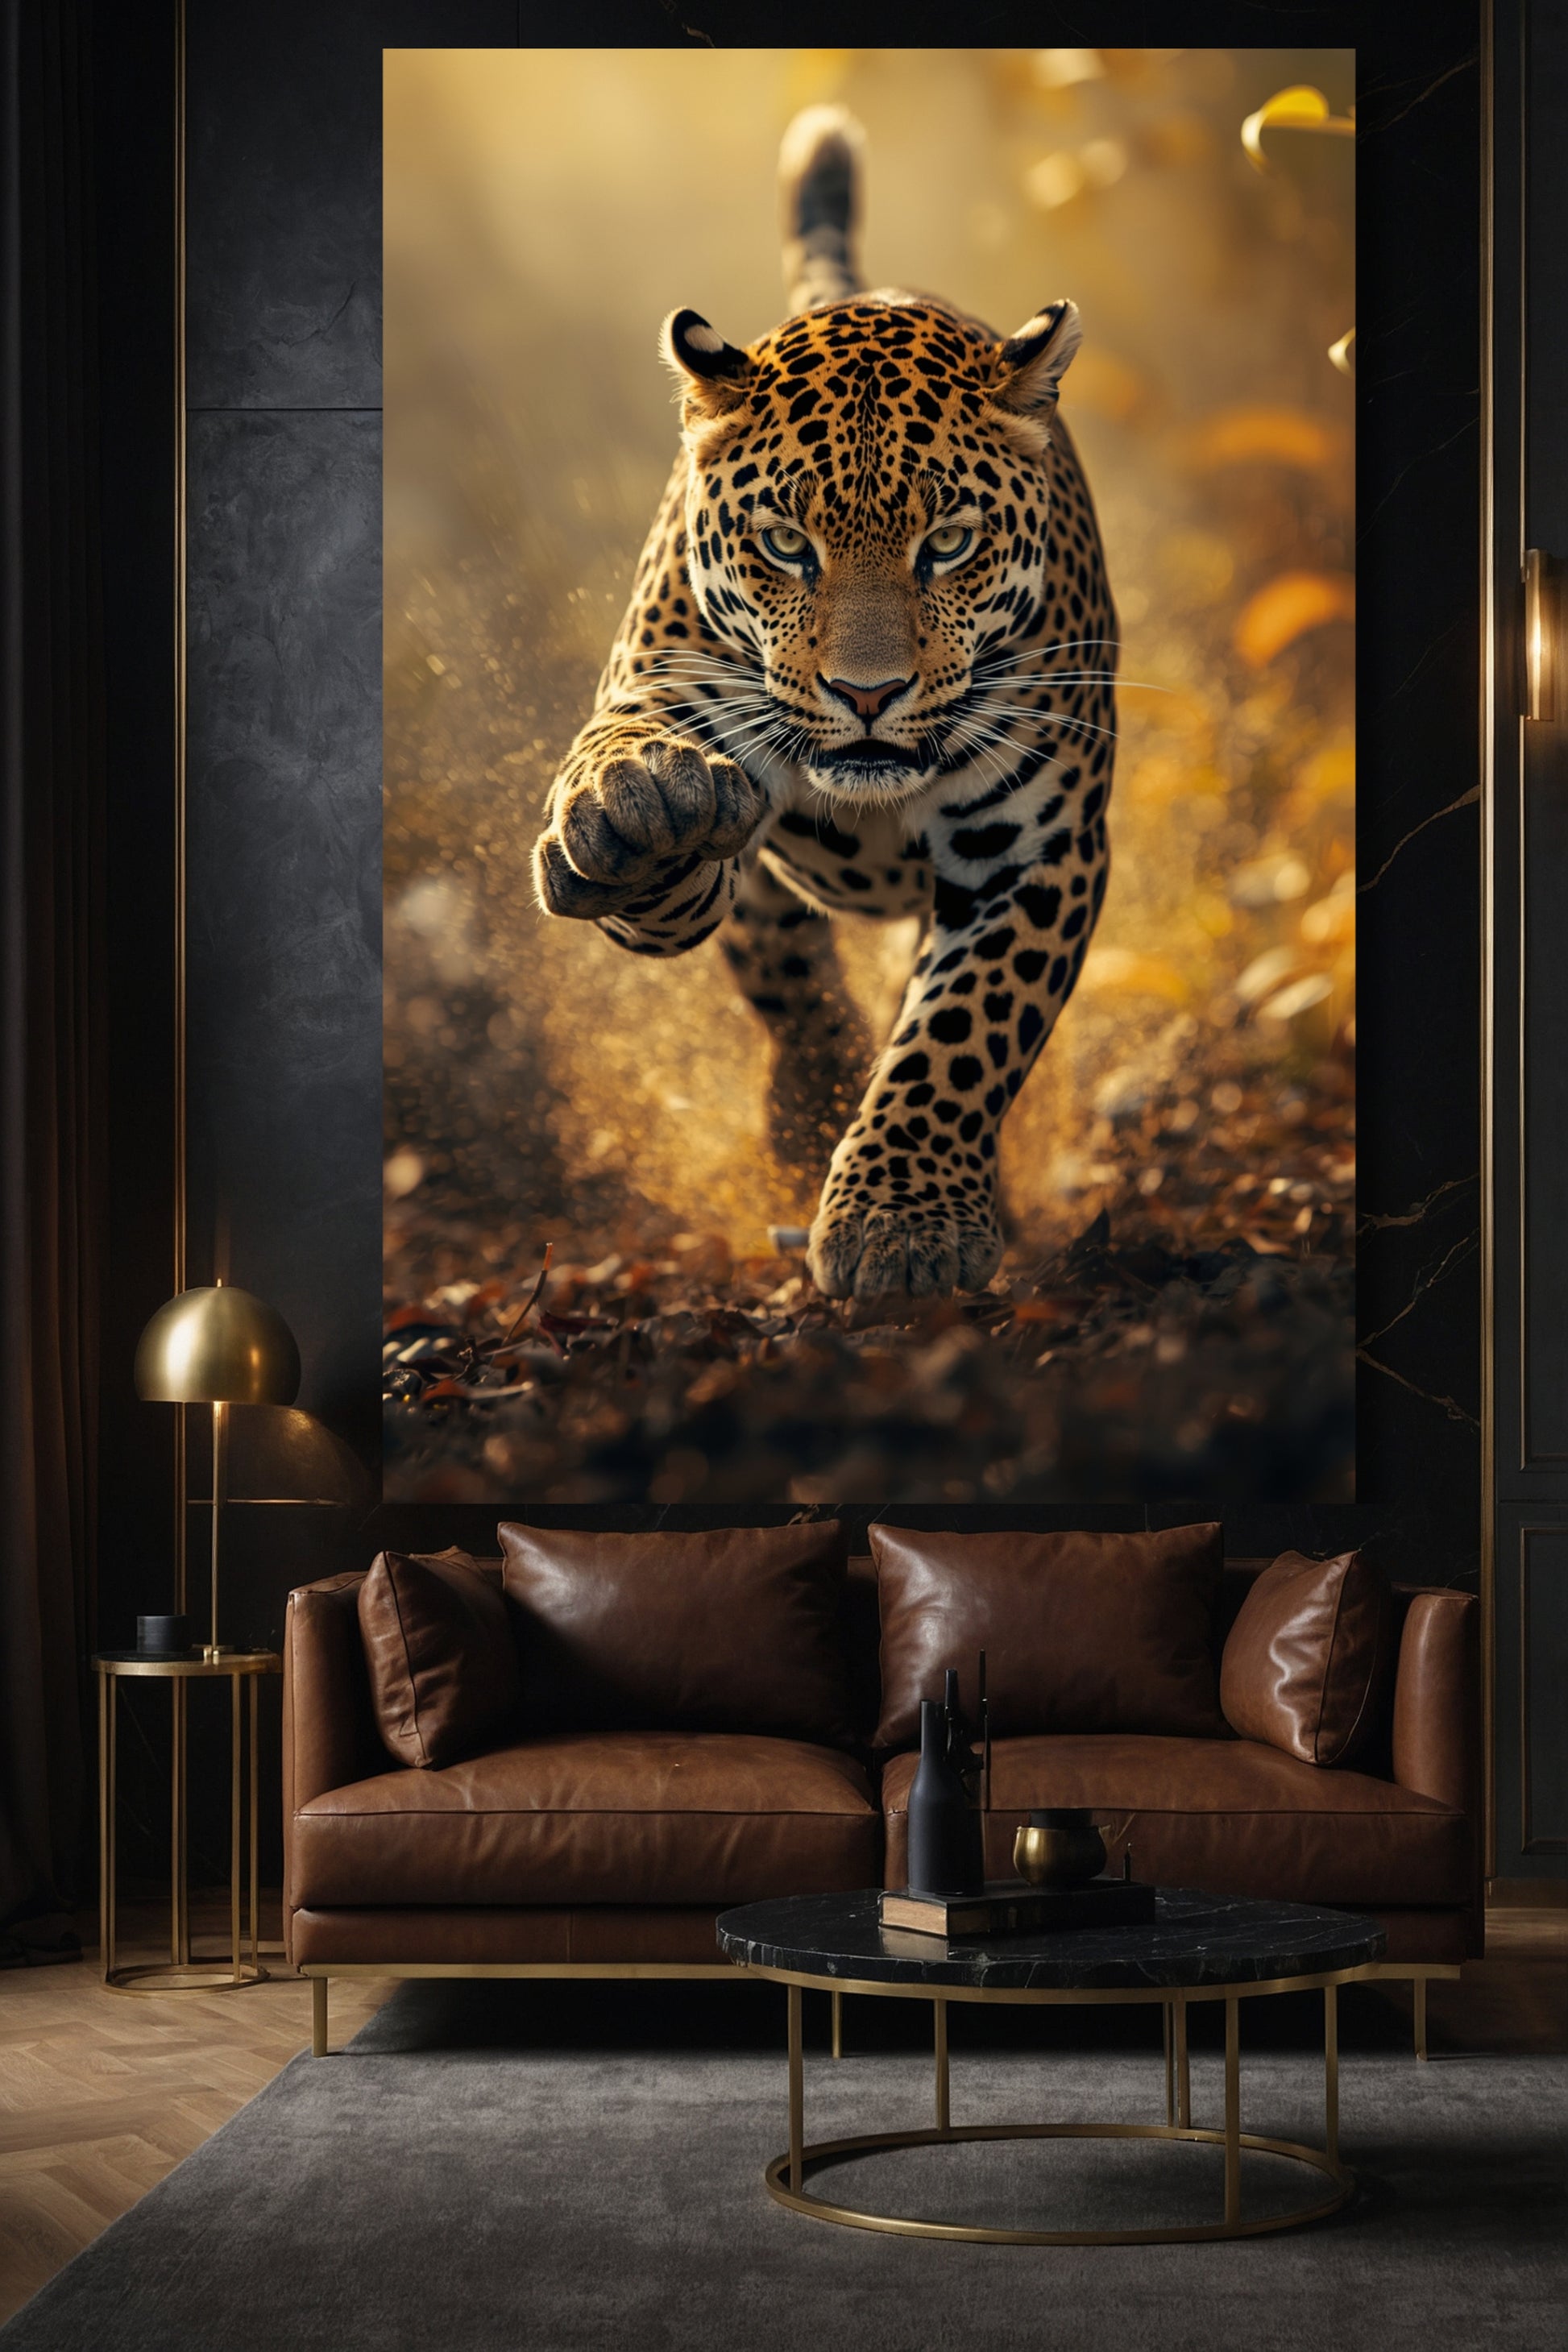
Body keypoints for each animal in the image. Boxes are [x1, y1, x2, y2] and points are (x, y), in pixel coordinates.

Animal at [532, 105, 1117, 1303]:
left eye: (948, 542)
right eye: (785, 544)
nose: (866, 693)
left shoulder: (1034, 850)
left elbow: (962, 1029)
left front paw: (901, 1219)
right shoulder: (661, 679)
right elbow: (640, 798)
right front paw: (637, 816)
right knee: (781, 961)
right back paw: (806, 1102)